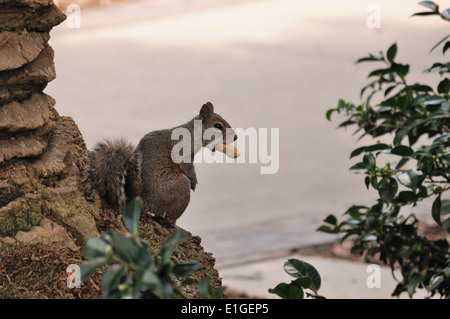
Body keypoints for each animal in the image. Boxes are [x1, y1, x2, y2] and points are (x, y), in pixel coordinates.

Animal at [83, 102, 241, 225]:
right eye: (218, 126)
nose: (235, 137)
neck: (192, 133)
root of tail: (146, 203)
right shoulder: (182, 152)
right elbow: (187, 167)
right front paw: (194, 180)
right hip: (180, 188)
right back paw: (171, 222)